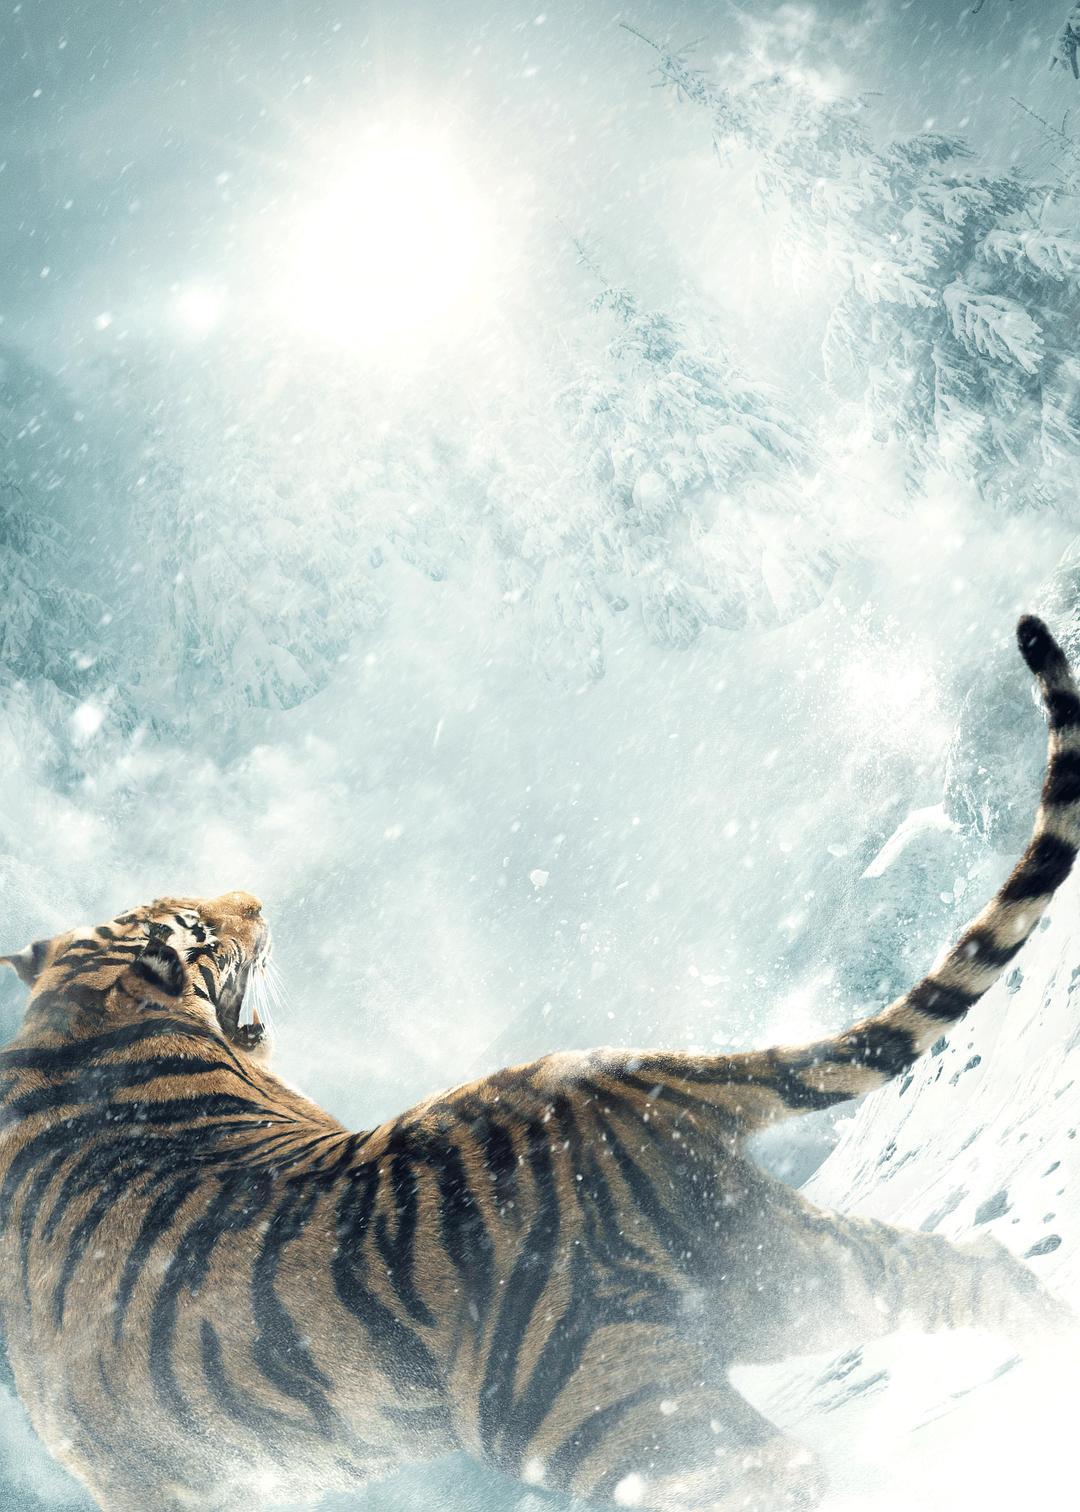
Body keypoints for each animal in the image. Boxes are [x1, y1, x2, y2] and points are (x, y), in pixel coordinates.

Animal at [0, 614, 1076, 1512]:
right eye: (199, 923)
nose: (255, 900)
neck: (70, 1032)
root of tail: (622, 1080)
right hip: (786, 1275)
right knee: (971, 1270)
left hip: (603, 1404)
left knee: (778, 1468)